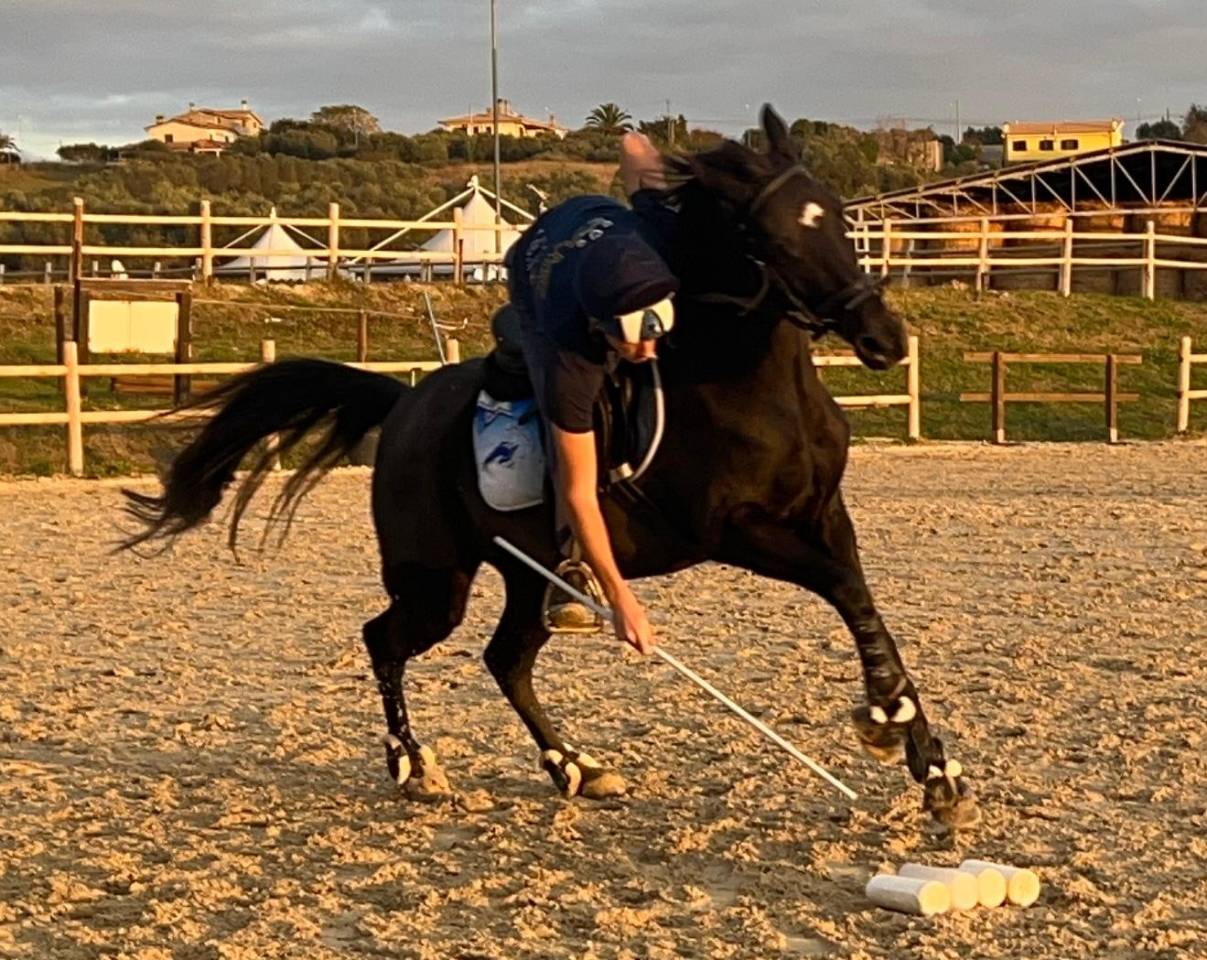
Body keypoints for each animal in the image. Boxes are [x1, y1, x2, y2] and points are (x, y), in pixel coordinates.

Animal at [121, 106, 978, 828]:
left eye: (835, 215)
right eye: (770, 238)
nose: (883, 338)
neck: (753, 387)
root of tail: (402, 404)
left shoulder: (824, 515)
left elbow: (861, 599)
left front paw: (929, 764)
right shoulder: (738, 531)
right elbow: (841, 590)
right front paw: (889, 720)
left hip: (529, 576)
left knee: (504, 658)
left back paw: (574, 764)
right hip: (436, 579)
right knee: (385, 639)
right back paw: (415, 765)